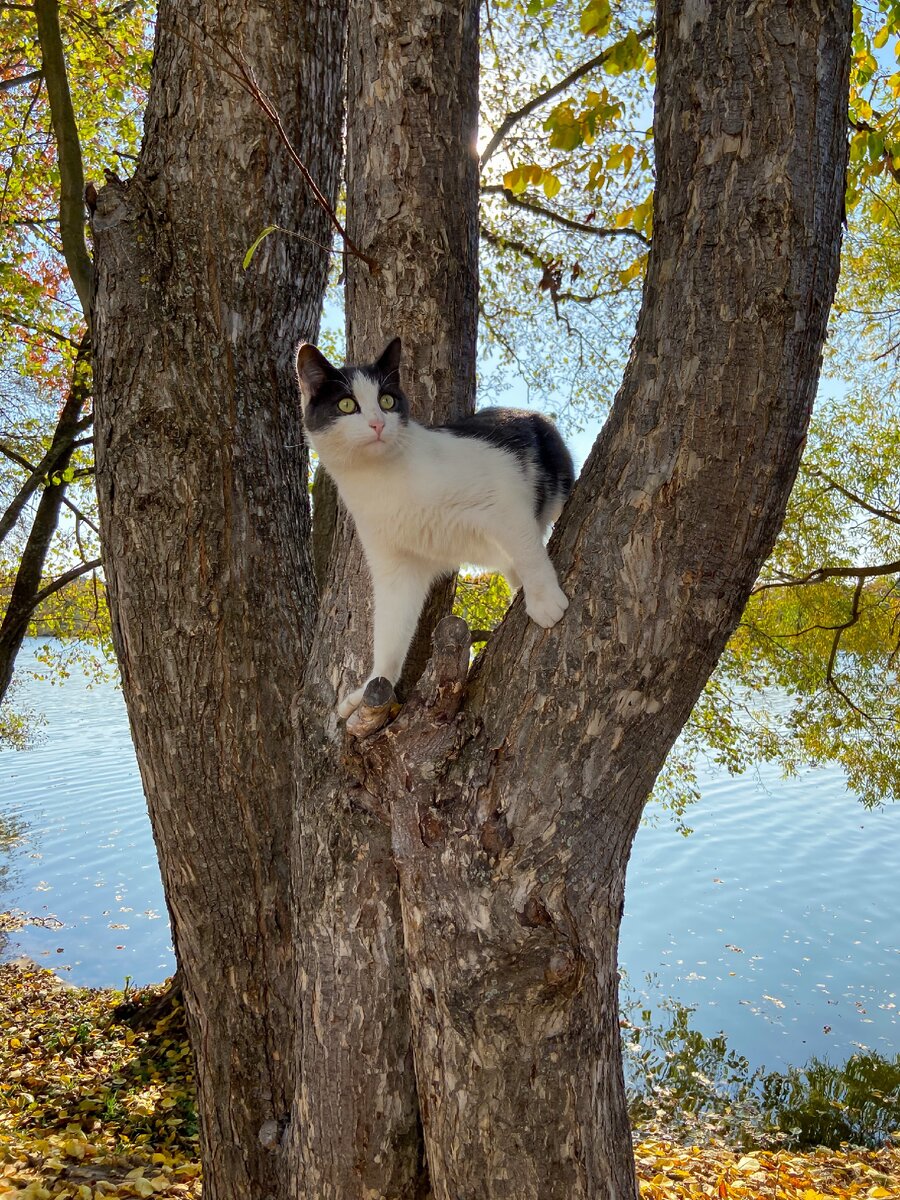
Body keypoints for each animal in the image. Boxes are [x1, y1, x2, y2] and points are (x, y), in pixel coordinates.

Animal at [300, 333, 573, 715]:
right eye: (346, 405)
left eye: (387, 400)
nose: (378, 424)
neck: (381, 481)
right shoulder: (396, 568)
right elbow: (390, 631)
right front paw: (371, 685)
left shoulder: (502, 498)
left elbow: (531, 555)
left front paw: (545, 600)